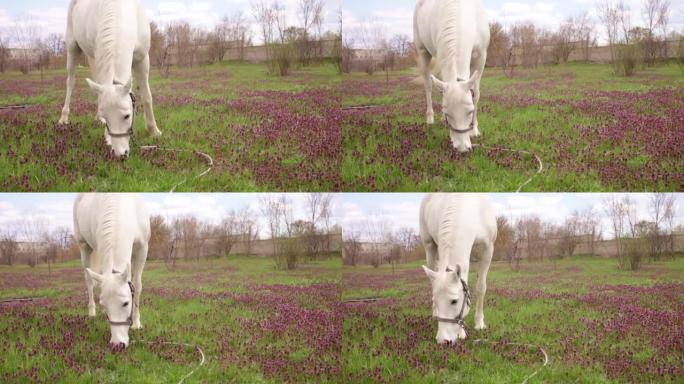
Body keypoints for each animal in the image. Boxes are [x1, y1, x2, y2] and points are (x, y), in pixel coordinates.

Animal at [58, 0, 161, 159]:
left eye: (127, 116)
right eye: (107, 117)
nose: (120, 154)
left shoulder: (143, 59)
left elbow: (147, 97)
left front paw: (154, 131)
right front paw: (107, 136)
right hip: (72, 47)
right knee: (70, 82)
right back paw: (64, 118)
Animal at [73, 194, 150, 346]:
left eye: (126, 303)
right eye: (104, 305)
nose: (117, 344)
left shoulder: (142, 249)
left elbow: (137, 286)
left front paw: (136, 324)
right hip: (84, 246)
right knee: (89, 281)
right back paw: (92, 312)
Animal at [414, 0, 488, 153]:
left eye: (470, 111)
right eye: (449, 114)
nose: (462, 149)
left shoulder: (481, 57)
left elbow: (476, 94)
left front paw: (474, 130)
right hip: (422, 51)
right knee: (428, 87)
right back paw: (430, 119)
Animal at [420, 194, 494, 344]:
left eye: (454, 301)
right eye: (436, 301)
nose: (443, 340)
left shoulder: (488, 248)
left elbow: (481, 287)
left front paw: (479, 324)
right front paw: (461, 332)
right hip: (429, 245)